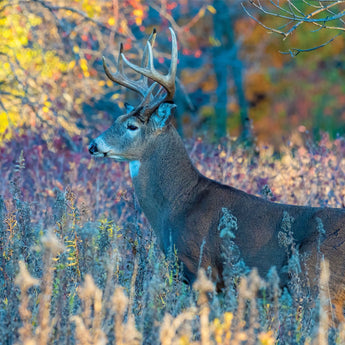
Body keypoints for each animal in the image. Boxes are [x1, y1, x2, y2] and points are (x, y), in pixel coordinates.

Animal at [89, 27, 345, 320]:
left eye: (131, 126)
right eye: (116, 120)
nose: (93, 145)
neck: (178, 203)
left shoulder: (201, 266)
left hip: (315, 281)